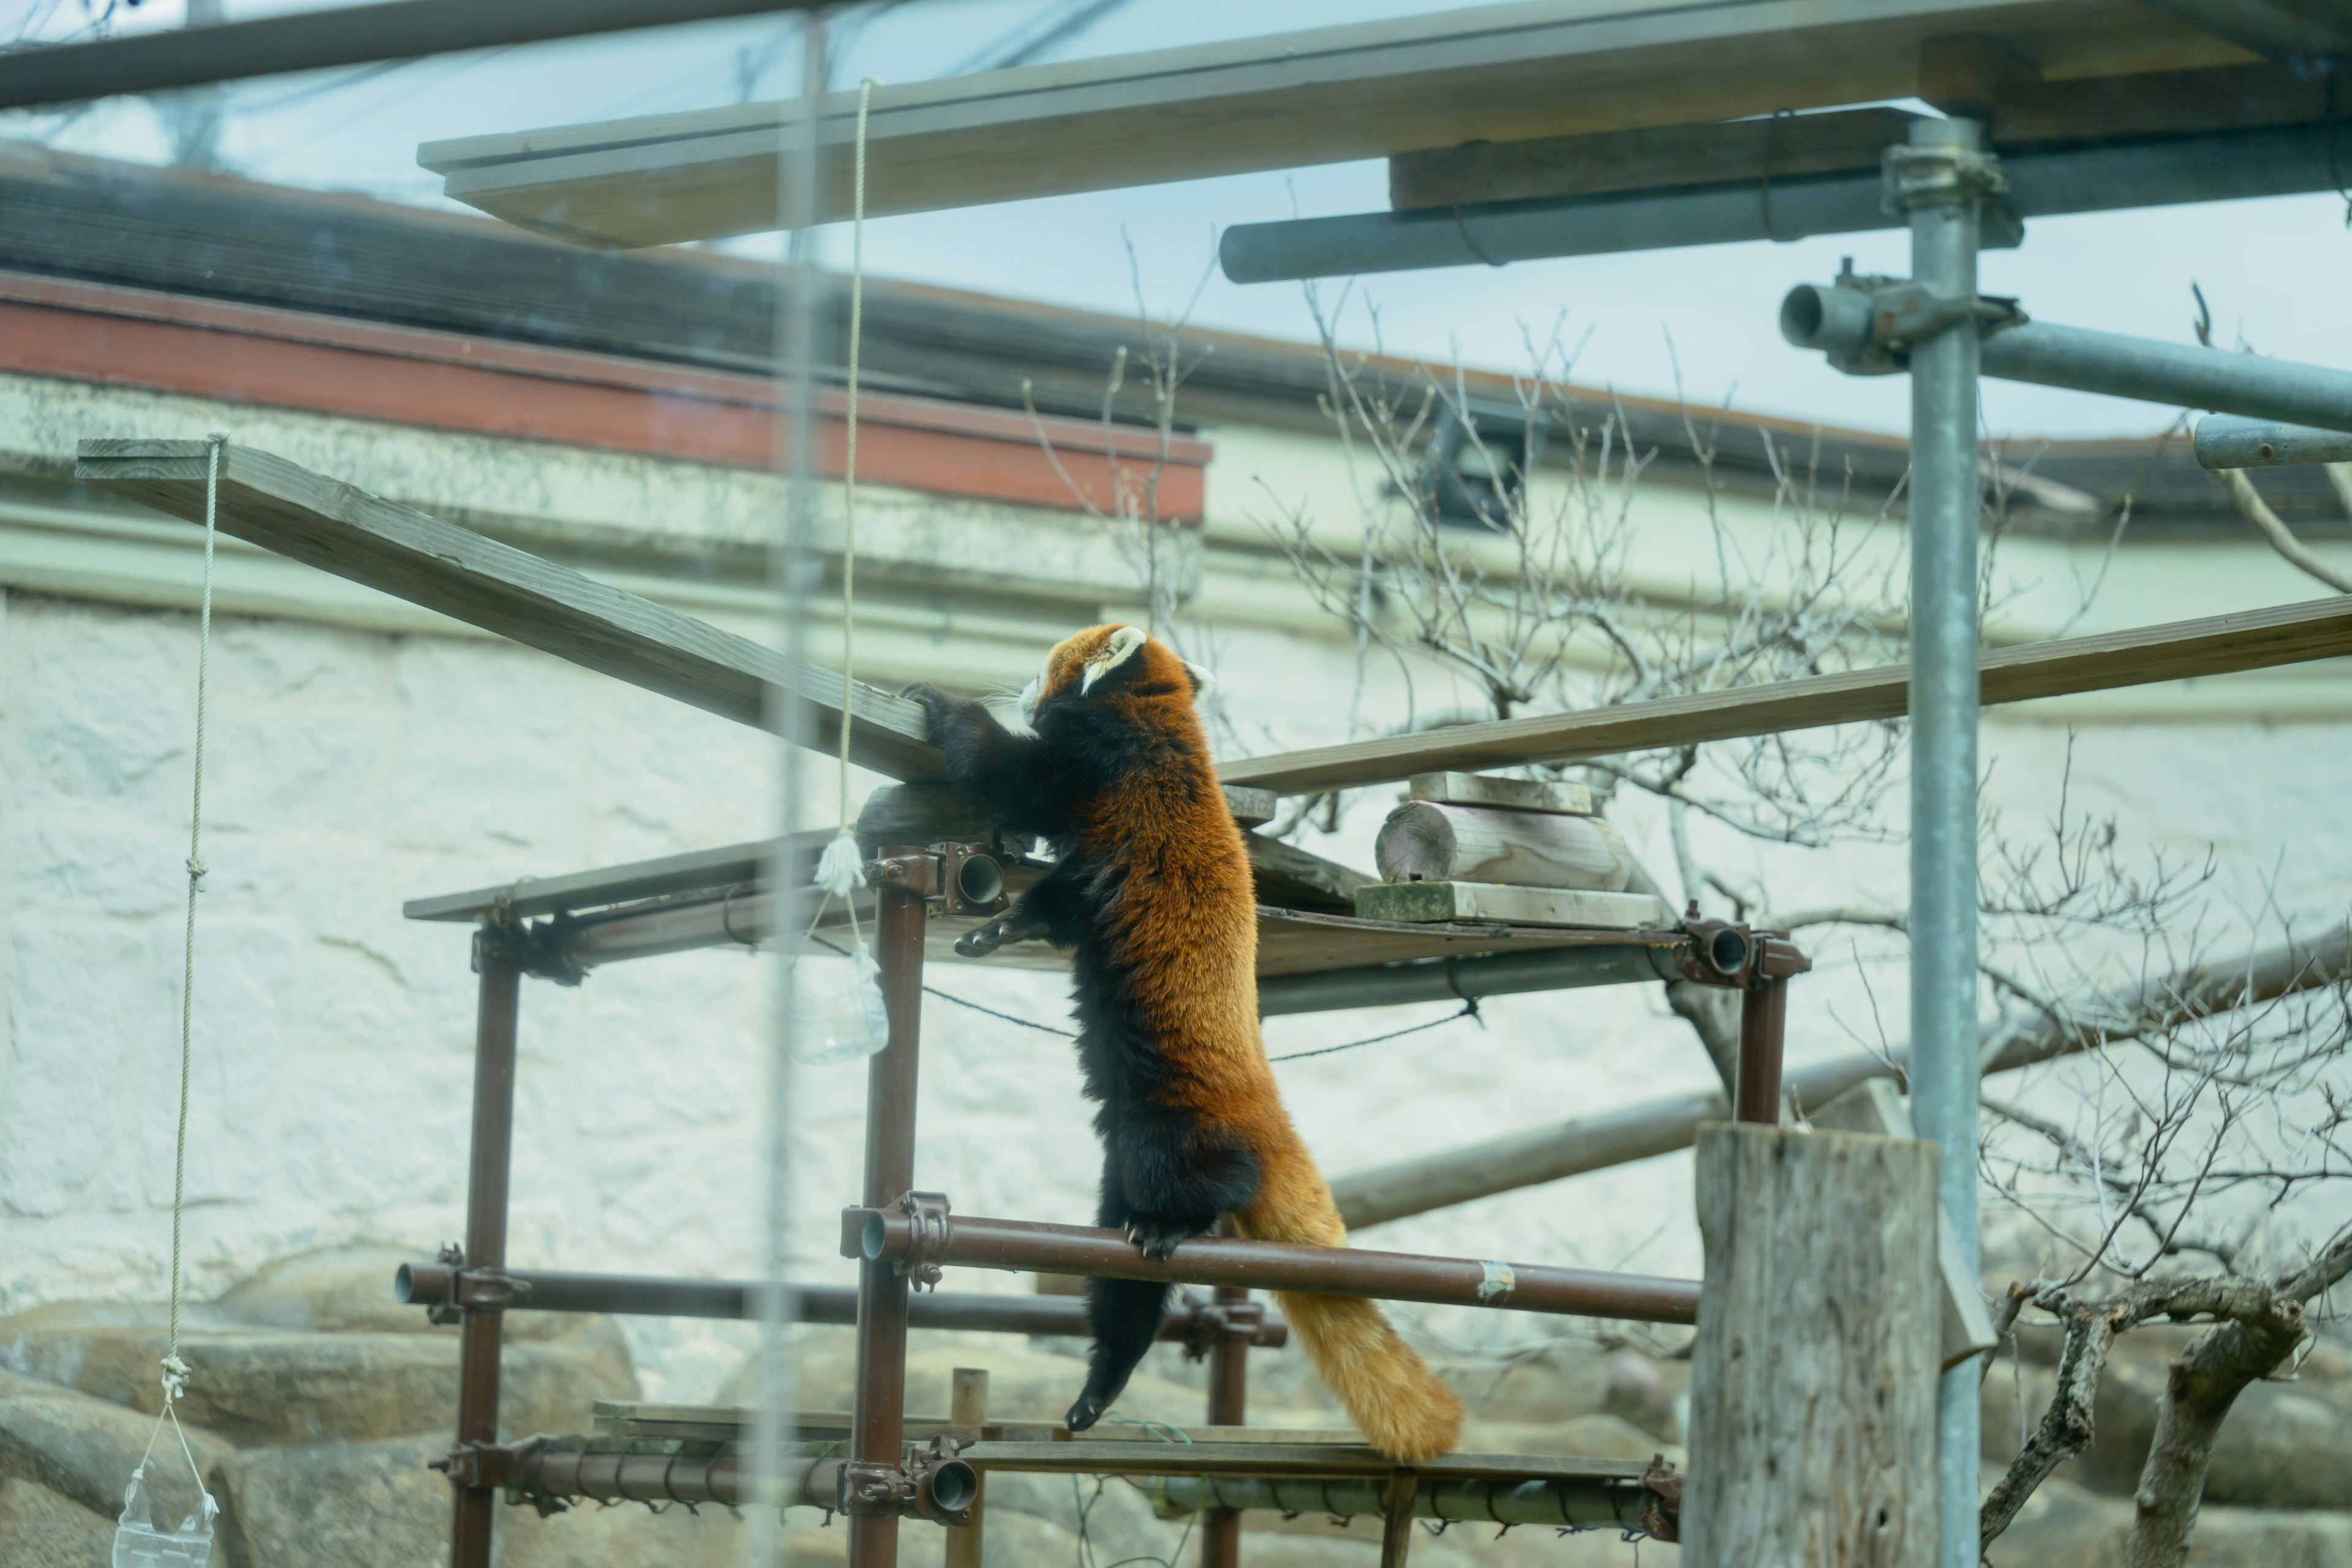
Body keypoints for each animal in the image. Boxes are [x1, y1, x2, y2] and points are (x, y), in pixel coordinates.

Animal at [908, 620, 1458, 1457]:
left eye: (1043, 665)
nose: (1021, 686)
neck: (1159, 718)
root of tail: (1267, 1109)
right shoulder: (1090, 860)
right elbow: (1051, 906)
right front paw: (995, 929)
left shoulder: (1101, 771)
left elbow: (1009, 769)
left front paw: (944, 704)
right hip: (1122, 1168)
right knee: (1123, 1288)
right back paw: (1101, 1385)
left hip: (1173, 1128)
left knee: (1198, 1192)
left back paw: (1177, 1227)